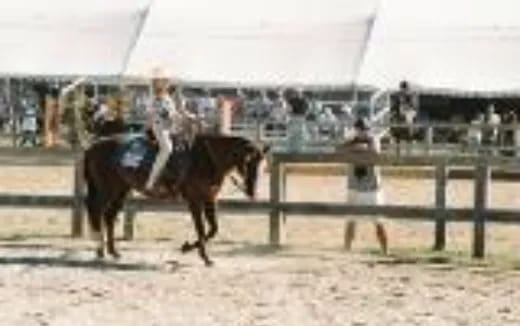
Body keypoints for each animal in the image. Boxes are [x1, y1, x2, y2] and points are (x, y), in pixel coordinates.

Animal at [83, 134, 270, 266]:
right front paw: (205, 257)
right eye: (247, 162)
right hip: (107, 189)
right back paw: (99, 250)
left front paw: (187, 248)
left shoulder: (209, 199)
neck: (207, 159)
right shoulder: (194, 200)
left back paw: (113, 252)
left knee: (109, 216)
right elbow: (201, 228)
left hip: (121, 190)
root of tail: (93, 145)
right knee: (97, 211)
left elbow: (213, 229)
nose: (252, 191)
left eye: (261, 164)